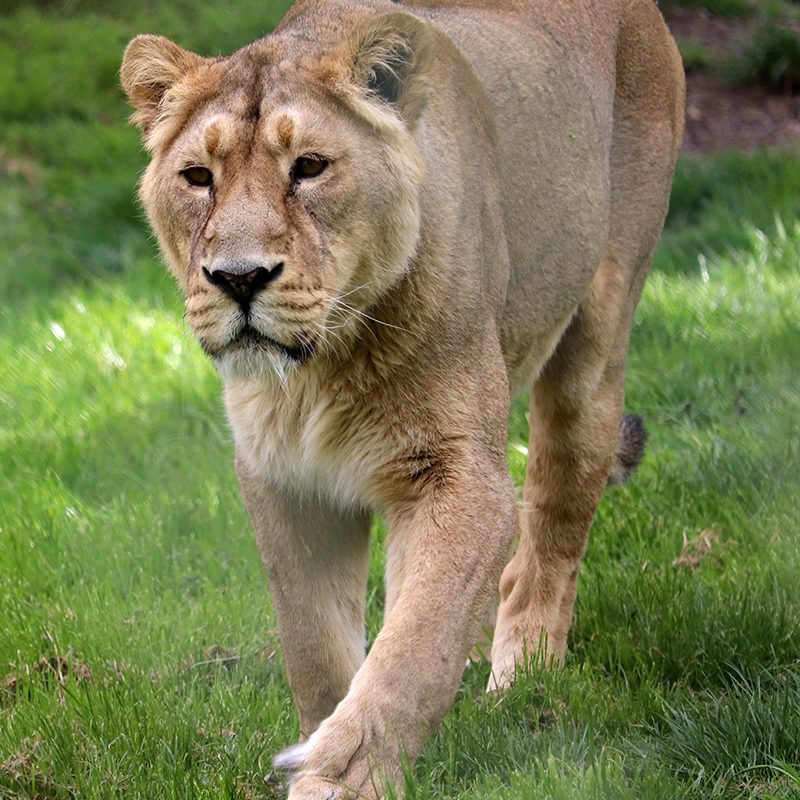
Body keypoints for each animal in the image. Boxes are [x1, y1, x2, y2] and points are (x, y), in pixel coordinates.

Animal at [122, 1, 684, 792]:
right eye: (197, 176)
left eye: (310, 167)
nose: (239, 278)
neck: (320, 369)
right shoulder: (284, 480)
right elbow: (317, 645)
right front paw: (319, 745)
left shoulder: (459, 475)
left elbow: (414, 645)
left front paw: (341, 776)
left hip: (594, 350)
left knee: (549, 536)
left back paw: (523, 678)